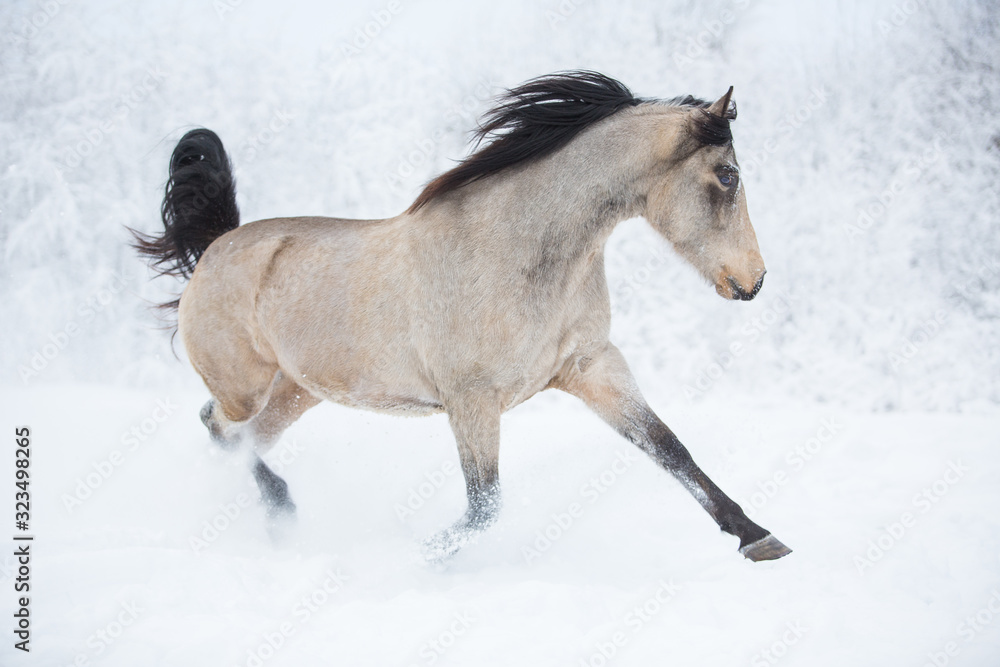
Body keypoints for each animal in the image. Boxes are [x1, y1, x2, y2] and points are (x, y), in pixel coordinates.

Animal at [131, 72, 788, 564]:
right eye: (727, 176)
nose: (754, 281)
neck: (515, 250)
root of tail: (218, 246)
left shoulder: (591, 367)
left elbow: (671, 448)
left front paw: (758, 537)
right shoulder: (472, 399)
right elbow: (485, 505)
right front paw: (425, 557)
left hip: (297, 394)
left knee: (237, 441)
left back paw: (276, 520)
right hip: (245, 387)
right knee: (220, 428)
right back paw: (282, 513)